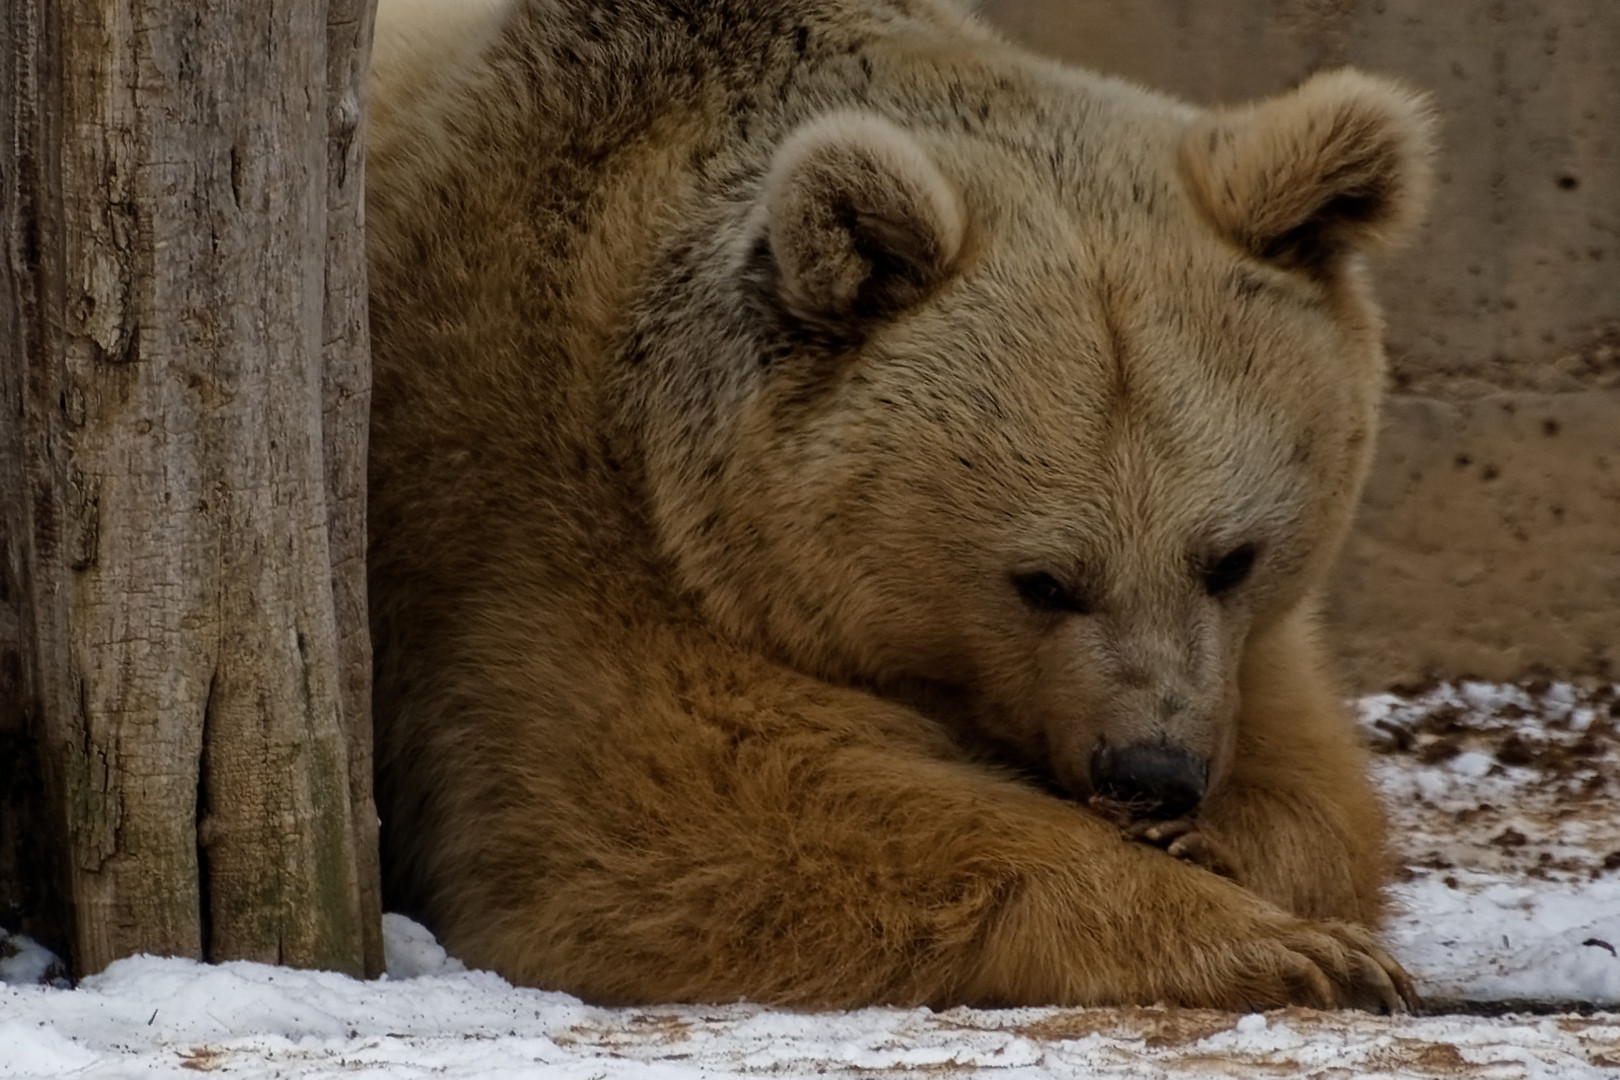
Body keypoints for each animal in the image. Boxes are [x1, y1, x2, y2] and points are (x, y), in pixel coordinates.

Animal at [364, 0, 1432, 1016]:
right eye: (1043, 580)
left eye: (1230, 558)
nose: (1150, 771)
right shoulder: (529, 515)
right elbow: (673, 824)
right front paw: (1294, 950)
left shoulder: (1243, 650)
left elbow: (1318, 790)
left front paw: (1221, 848)